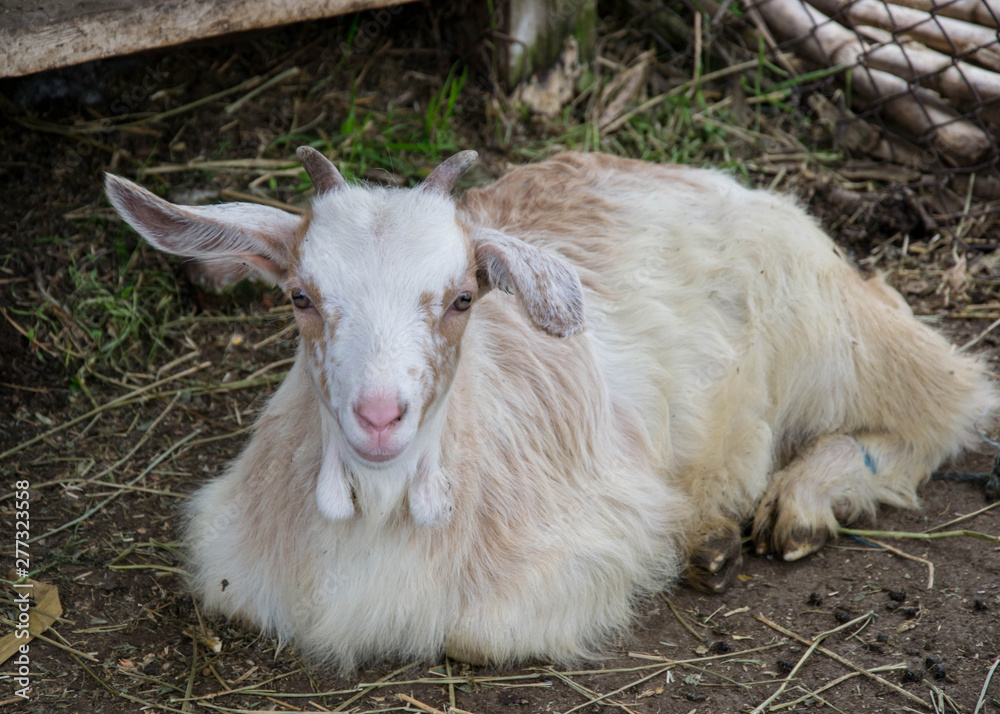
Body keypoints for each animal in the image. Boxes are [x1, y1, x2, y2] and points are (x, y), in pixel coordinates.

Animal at [104, 149, 997, 669]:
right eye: (300, 296)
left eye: (463, 298)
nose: (380, 416)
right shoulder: (230, 567)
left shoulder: (589, 540)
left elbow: (471, 633)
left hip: (831, 329)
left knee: (951, 398)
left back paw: (805, 500)